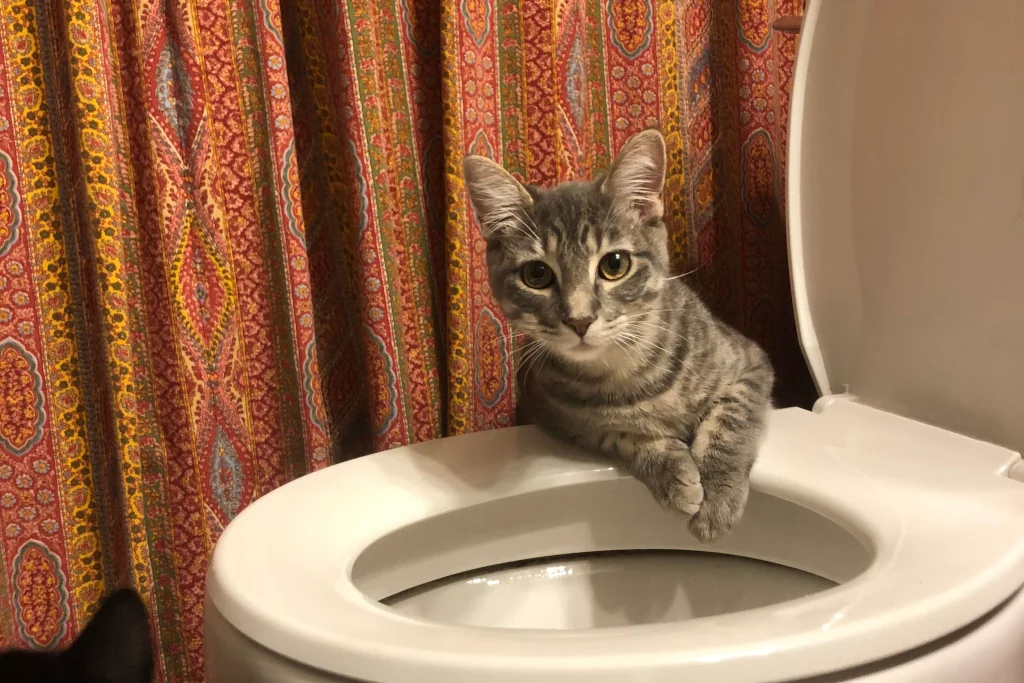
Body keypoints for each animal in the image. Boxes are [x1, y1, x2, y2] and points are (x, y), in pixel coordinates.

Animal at [460, 129, 770, 544]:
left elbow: (733, 419)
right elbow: (617, 435)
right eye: (536, 275)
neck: (624, 371)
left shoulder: (750, 361)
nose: (579, 320)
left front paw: (719, 498)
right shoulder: (557, 416)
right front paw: (671, 473)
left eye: (615, 264)